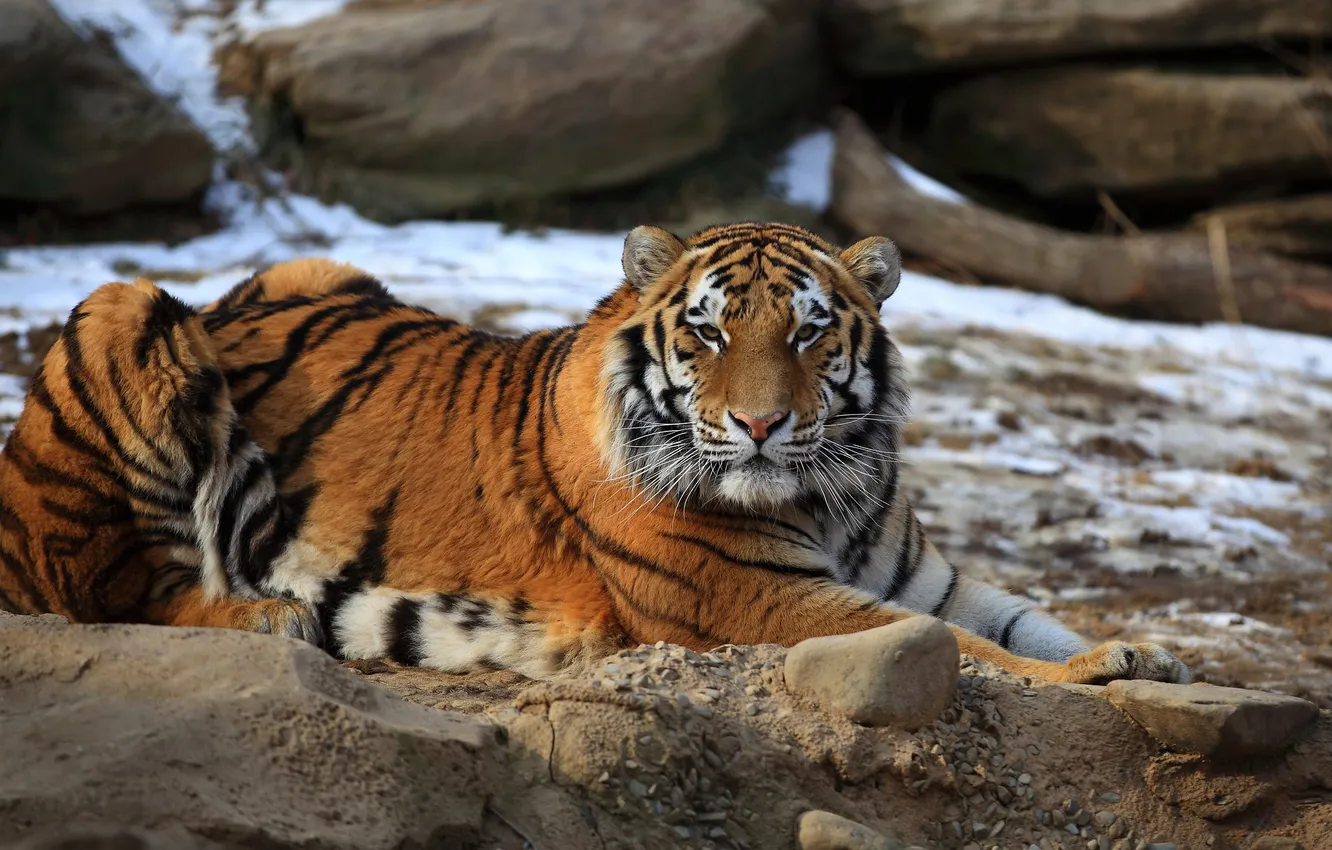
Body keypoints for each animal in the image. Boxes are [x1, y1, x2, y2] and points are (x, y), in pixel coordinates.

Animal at [0, 221, 1189, 686]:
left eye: (811, 332)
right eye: (708, 333)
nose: (761, 427)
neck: (828, 495)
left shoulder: (916, 571)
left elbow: (1016, 618)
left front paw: (1152, 651)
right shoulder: (757, 599)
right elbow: (967, 647)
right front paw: (1100, 668)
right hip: (127, 306)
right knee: (111, 590)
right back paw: (266, 616)